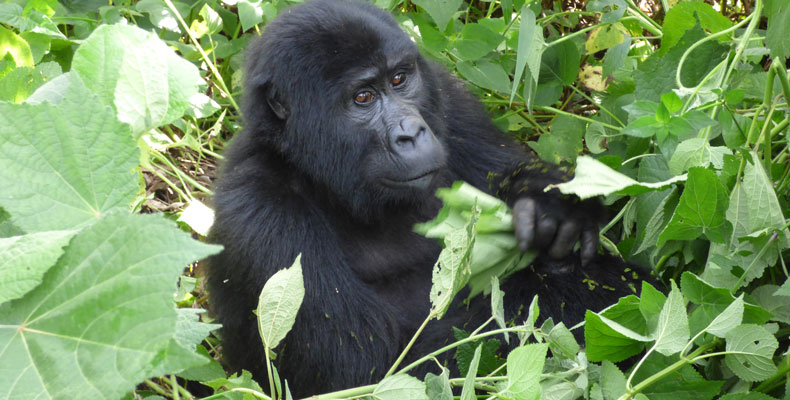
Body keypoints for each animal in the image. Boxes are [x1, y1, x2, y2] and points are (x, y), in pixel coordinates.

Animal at [209, 0, 644, 394]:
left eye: (400, 79)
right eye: (363, 97)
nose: (412, 133)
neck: (314, 174)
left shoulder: (447, 94)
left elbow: (506, 173)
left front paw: (554, 210)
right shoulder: (259, 213)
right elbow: (374, 372)